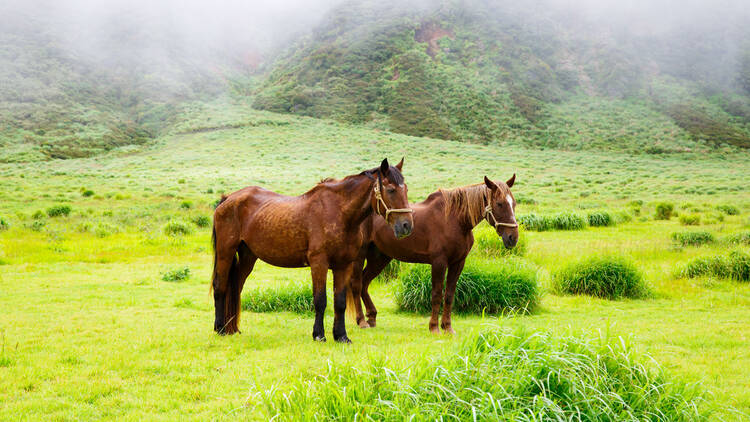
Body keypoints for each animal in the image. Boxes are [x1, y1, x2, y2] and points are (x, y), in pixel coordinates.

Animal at [212, 158, 414, 342]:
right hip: (225, 253)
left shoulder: (343, 265)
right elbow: (320, 300)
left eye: (406, 189)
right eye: (391, 189)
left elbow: (340, 302)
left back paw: (233, 328)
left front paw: (341, 336)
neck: (339, 213)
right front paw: (319, 335)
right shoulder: (319, 263)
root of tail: (228, 199)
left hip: (248, 257)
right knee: (220, 286)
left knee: (236, 287)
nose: (407, 226)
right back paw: (220, 328)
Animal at [352, 174, 516, 332]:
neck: (455, 221)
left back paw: (371, 317)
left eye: (513, 204)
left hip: (380, 258)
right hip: (360, 256)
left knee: (364, 283)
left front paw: (448, 327)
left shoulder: (458, 263)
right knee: (356, 284)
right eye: (499, 204)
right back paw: (361, 321)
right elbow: (437, 295)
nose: (512, 237)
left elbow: (449, 295)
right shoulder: (439, 263)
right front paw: (434, 327)